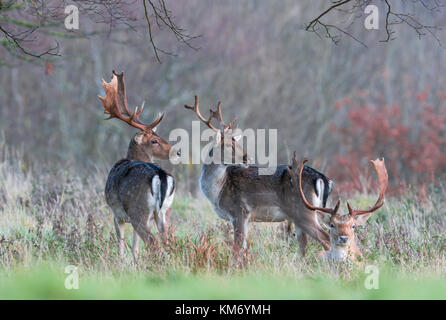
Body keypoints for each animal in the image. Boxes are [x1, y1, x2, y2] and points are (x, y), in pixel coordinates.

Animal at [98, 70, 179, 260]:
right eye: (155, 140)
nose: (177, 152)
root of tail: (161, 176)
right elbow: (135, 247)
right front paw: (135, 263)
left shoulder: (117, 214)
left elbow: (120, 243)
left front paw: (121, 262)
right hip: (165, 212)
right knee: (168, 241)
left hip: (138, 210)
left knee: (153, 243)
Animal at [183, 95, 332, 262]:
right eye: (228, 145)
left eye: (237, 143)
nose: (247, 158)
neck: (218, 191)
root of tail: (321, 178)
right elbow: (243, 247)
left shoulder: (239, 210)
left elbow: (237, 249)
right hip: (301, 215)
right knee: (304, 244)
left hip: (303, 211)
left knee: (326, 238)